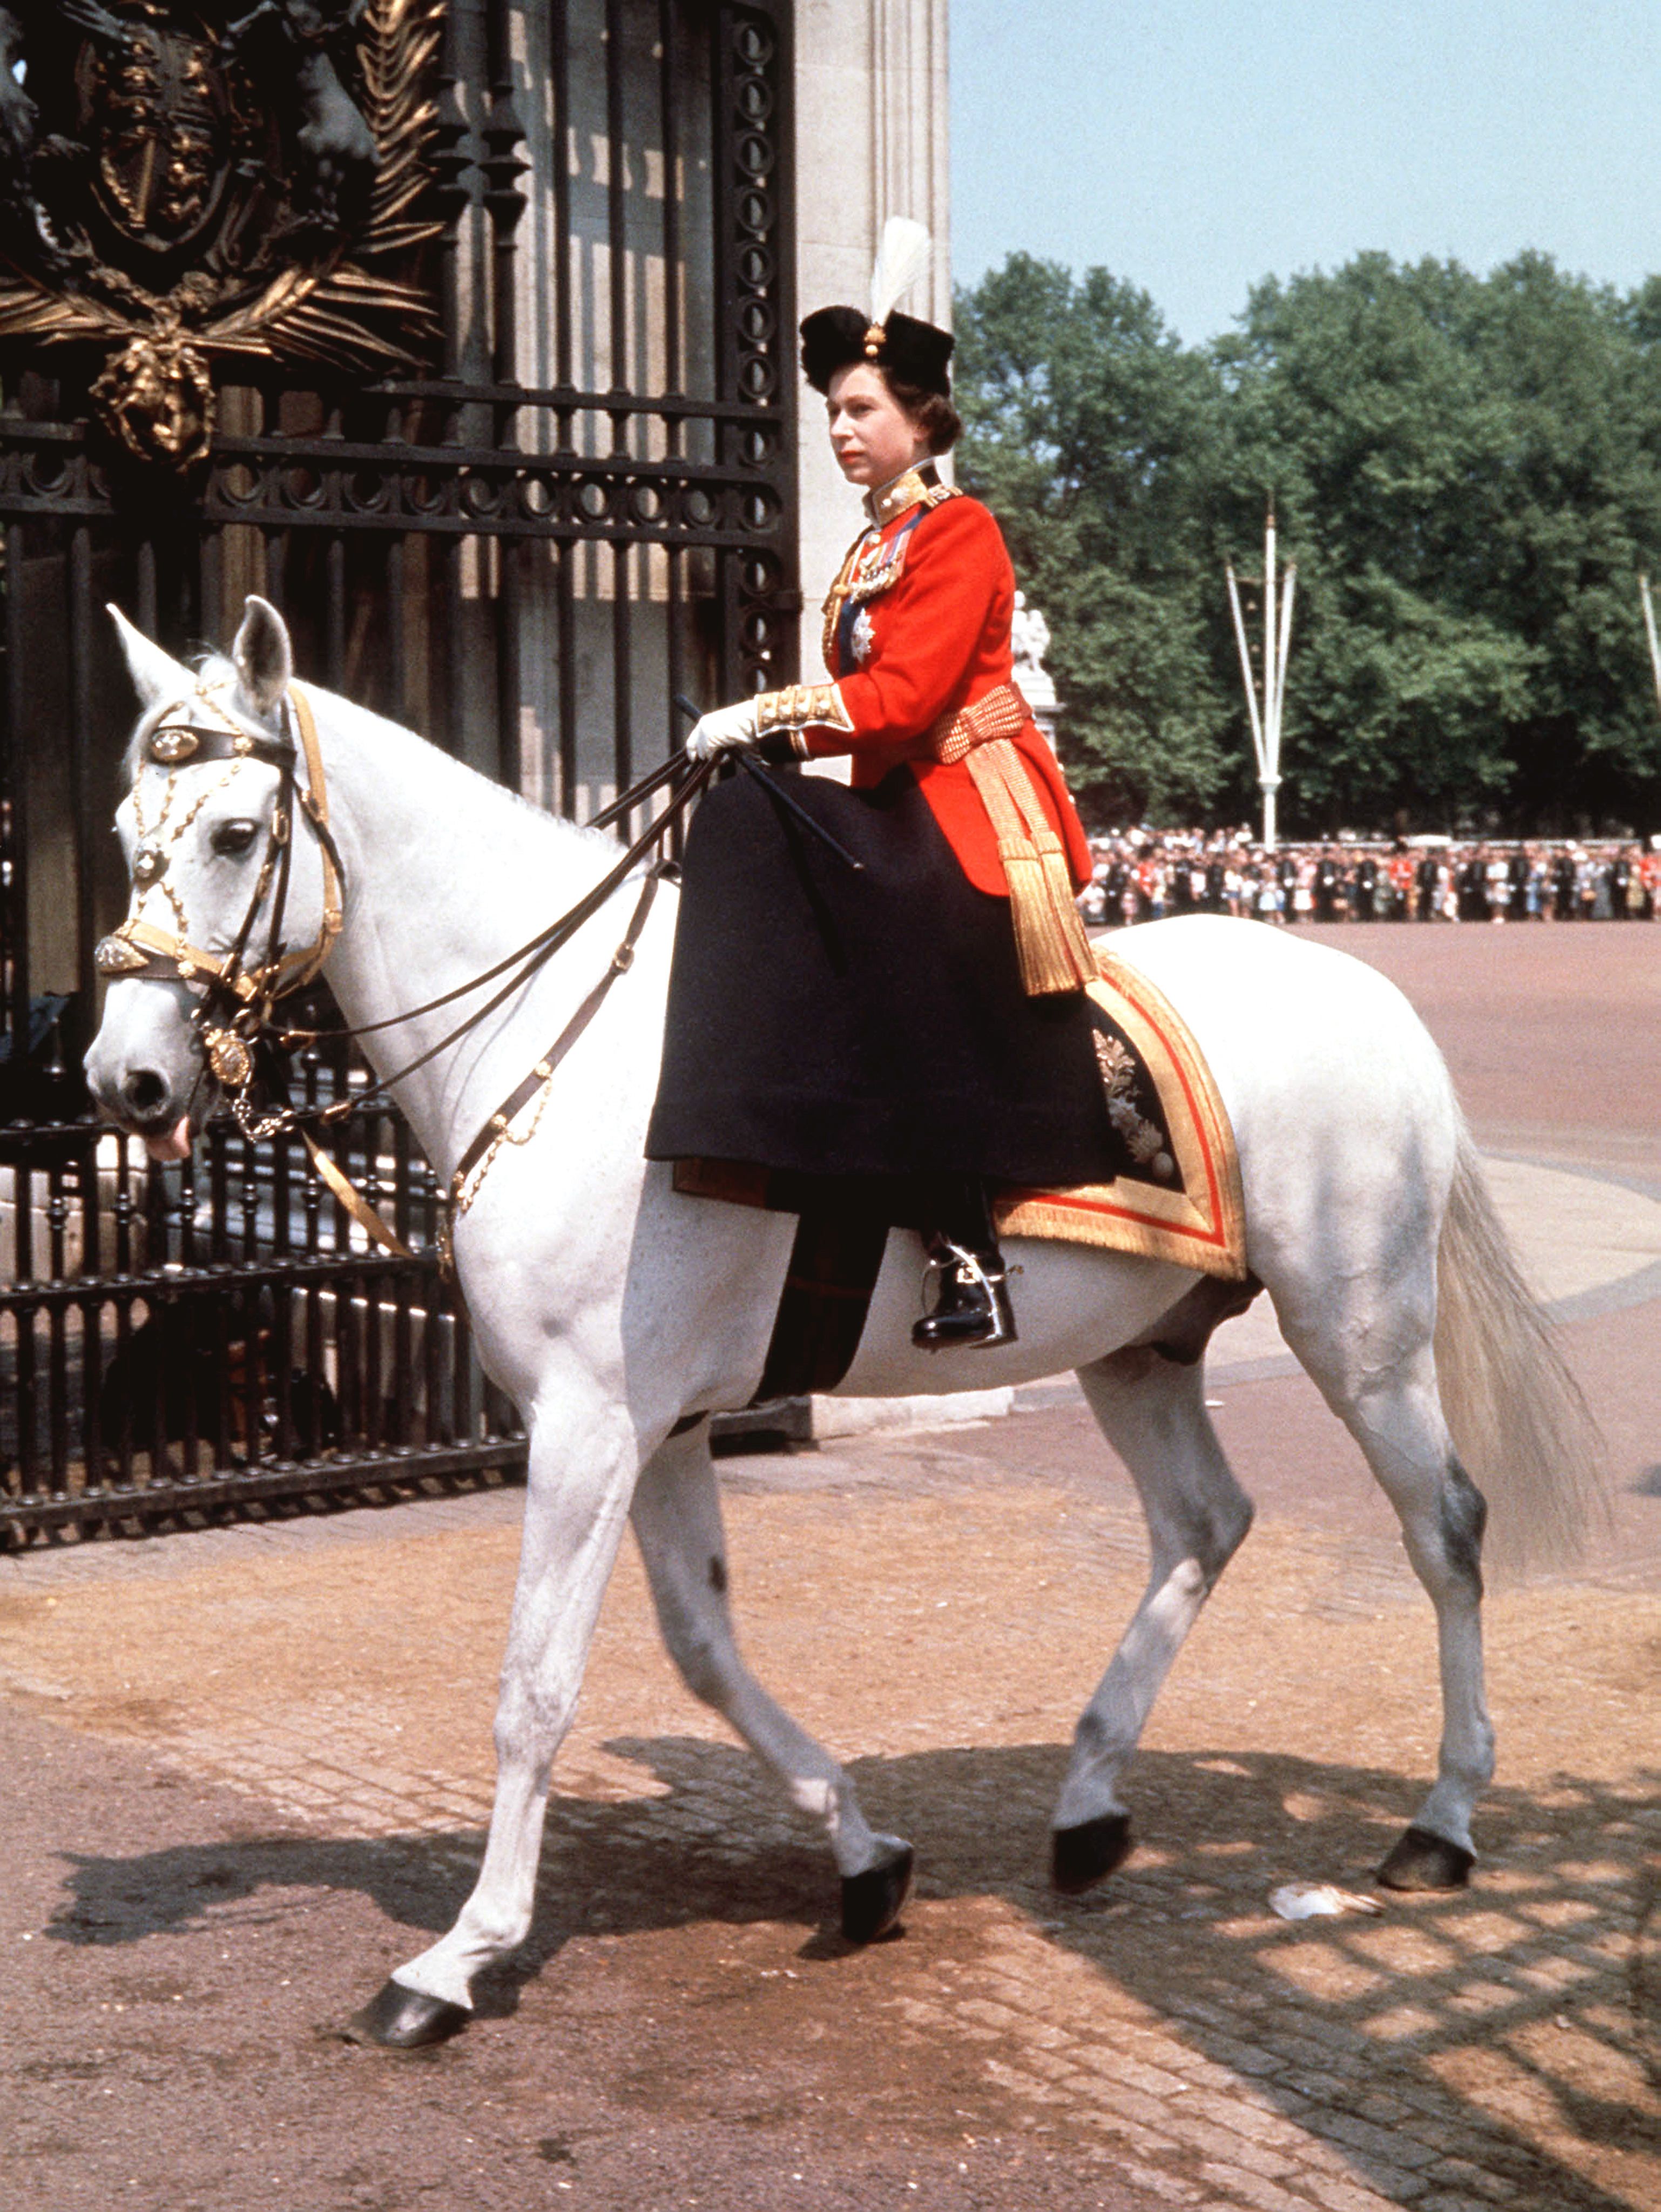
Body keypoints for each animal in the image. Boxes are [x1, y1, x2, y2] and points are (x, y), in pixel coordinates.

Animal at [84, 597, 1601, 2044]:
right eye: (120, 834)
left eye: (233, 832)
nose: (126, 1081)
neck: (548, 1040)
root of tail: (1367, 987)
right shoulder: (657, 1425)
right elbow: (700, 1652)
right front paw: (863, 1857)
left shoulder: (587, 1422)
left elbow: (536, 1685)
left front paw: (457, 1957)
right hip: (1140, 1345)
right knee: (1203, 1522)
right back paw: (1089, 1802)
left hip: (1358, 1327)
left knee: (1441, 1523)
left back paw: (1440, 1821)